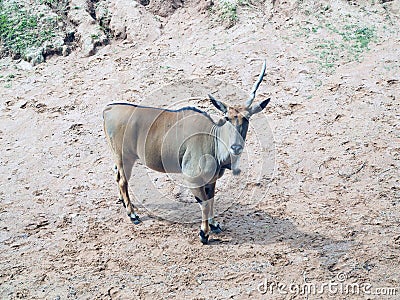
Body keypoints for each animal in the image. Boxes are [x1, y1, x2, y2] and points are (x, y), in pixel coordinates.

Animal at [103, 61, 270, 244]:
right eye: (227, 118)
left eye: (246, 118)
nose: (236, 147)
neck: (213, 138)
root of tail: (109, 109)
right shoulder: (192, 179)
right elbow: (204, 203)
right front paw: (204, 234)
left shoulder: (211, 180)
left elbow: (211, 200)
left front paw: (214, 225)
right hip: (124, 158)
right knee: (122, 180)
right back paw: (132, 214)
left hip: (121, 159)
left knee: (117, 175)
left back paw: (124, 203)